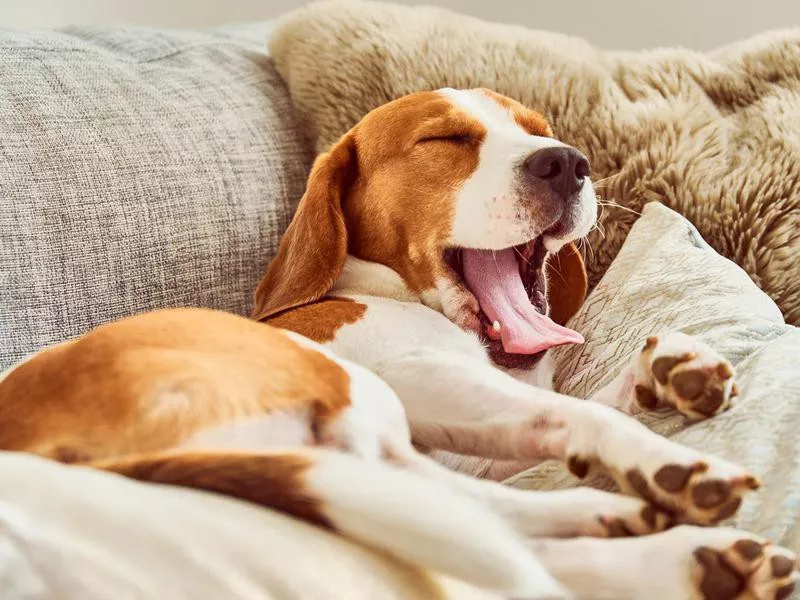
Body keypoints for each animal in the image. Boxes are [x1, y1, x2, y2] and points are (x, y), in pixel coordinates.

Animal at [3, 89, 796, 600]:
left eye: (537, 127)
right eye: (444, 140)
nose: (566, 162)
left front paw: (666, 370)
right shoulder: (416, 375)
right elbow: (577, 414)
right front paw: (660, 456)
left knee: (493, 524)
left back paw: (669, 546)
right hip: (355, 398)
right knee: (492, 532)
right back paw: (670, 521)